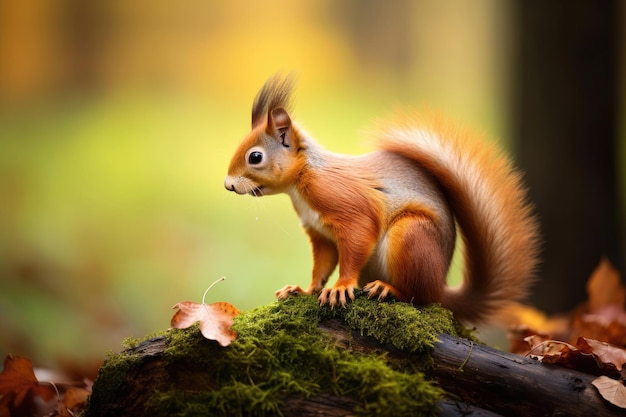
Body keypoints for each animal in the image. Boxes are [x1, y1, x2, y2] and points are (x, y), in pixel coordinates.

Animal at [223, 75, 536, 322]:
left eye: (255, 157)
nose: (227, 185)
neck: (302, 182)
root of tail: (441, 286)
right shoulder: (320, 234)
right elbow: (321, 265)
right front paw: (302, 289)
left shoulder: (348, 207)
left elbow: (357, 241)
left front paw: (340, 287)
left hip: (412, 236)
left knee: (419, 297)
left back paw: (390, 289)